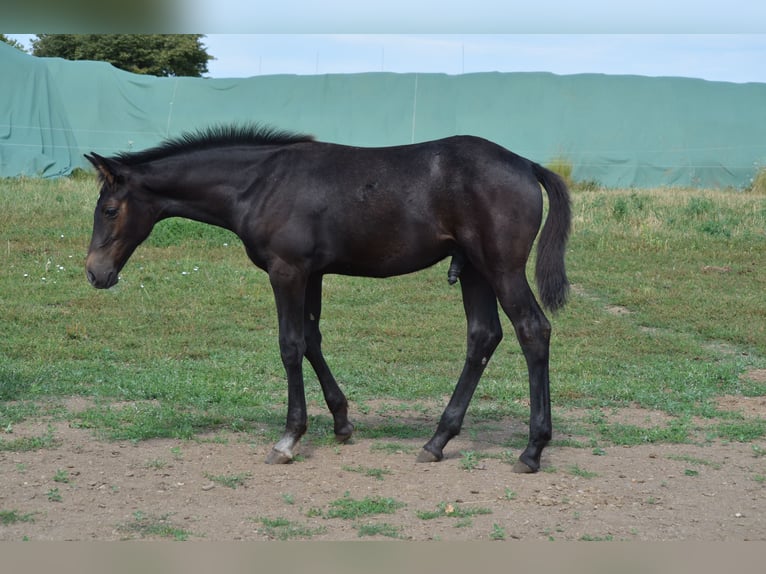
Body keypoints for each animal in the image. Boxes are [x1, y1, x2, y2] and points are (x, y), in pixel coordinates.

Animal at [87, 125, 572, 472]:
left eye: (109, 210)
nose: (95, 273)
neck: (261, 183)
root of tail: (527, 165)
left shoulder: (287, 271)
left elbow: (290, 345)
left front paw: (288, 439)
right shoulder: (313, 273)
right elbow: (312, 340)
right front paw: (342, 422)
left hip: (501, 267)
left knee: (533, 330)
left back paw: (532, 450)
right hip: (473, 269)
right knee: (483, 336)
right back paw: (437, 441)